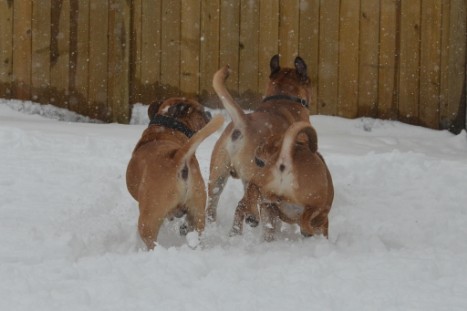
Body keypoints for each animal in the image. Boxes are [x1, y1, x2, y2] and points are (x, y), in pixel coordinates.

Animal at [126, 98, 225, 250]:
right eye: (201, 111)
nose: (209, 112)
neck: (168, 127)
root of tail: (177, 157)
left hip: (148, 220)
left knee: (152, 242)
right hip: (197, 211)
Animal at [207, 54, 312, 234]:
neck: (282, 96)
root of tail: (243, 123)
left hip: (218, 176)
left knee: (213, 204)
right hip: (255, 178)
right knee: (243, 205)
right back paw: (251, 219)